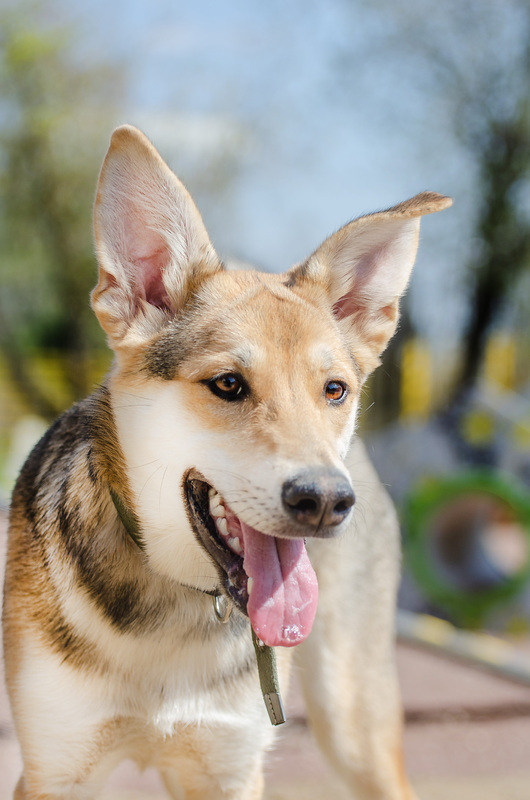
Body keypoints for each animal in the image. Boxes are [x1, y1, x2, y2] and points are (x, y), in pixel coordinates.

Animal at [3, 126, 450, 800]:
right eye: (229, 384)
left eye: (335, 390)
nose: (325, 501)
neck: (178, 601)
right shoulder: (56, 766)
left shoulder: (229, 767)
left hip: (355, 720)